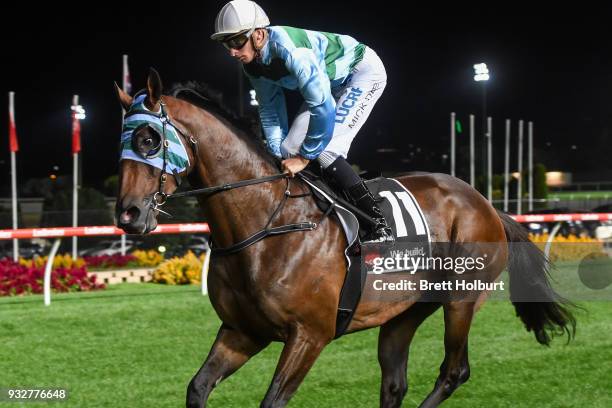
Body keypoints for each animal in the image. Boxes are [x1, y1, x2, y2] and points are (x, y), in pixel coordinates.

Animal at [113, 68, 572, 406]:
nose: (128, 214)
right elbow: (197, 387)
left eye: (149, 139)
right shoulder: (242, 331)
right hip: (403, 312)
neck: (265, 224)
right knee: (394, 383)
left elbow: (272, 400)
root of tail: (485, 204)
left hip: (462, 299)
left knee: (453, 371)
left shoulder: (310, 334)